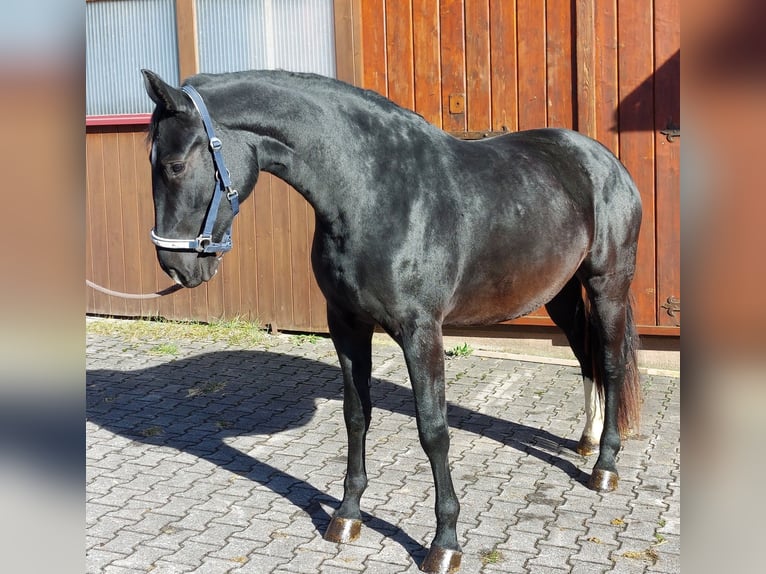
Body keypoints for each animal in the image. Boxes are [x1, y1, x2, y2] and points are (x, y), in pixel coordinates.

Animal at [142, 69, 642, 573]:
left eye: (175, 166)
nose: (175, 267)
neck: (374, 192)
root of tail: (603, 160)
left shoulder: (421, 332)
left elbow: (433, 430)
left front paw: (445, 542)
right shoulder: (346, 324)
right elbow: (356, 415)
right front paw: (346, 516)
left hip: (608, 285)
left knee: (610, 362)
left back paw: (604, 467)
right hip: (560, 292)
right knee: (585, 357)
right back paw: (586, 440)